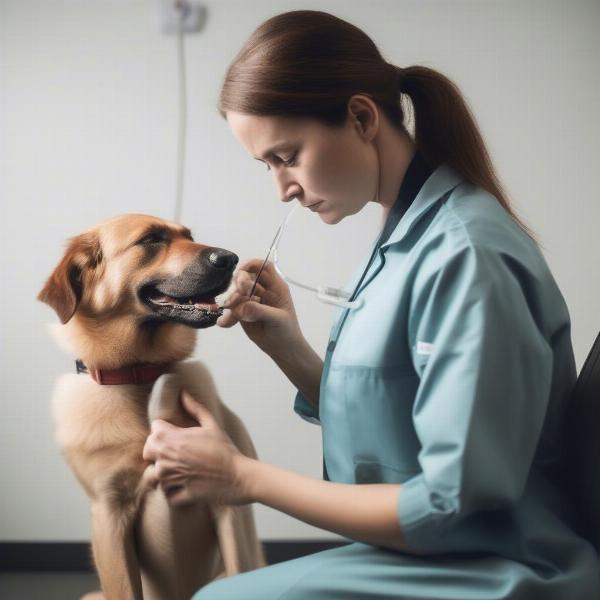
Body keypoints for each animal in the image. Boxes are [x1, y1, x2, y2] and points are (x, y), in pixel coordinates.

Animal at [37, 216, 268, 600]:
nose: (230, 259)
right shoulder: (109, 515)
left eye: (189, 236)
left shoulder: (229, 508)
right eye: (151, 240)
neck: (140, 374)